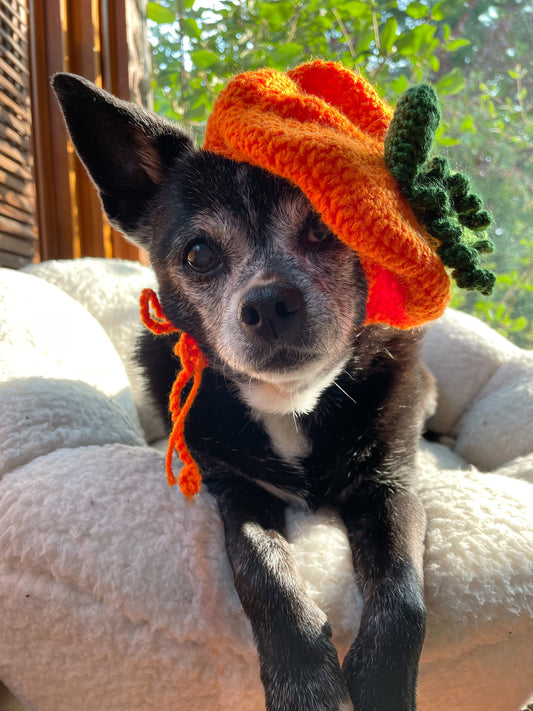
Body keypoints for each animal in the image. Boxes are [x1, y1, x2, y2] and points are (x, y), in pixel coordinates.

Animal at [53, 72, 428, 711]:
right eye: (199, 254)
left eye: (324, 229)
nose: (268, 301)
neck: (290, 402)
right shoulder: (238, 495)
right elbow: (264, 574)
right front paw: (305, 682)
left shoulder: (390, 486)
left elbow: (404, 594)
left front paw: (380, 684)